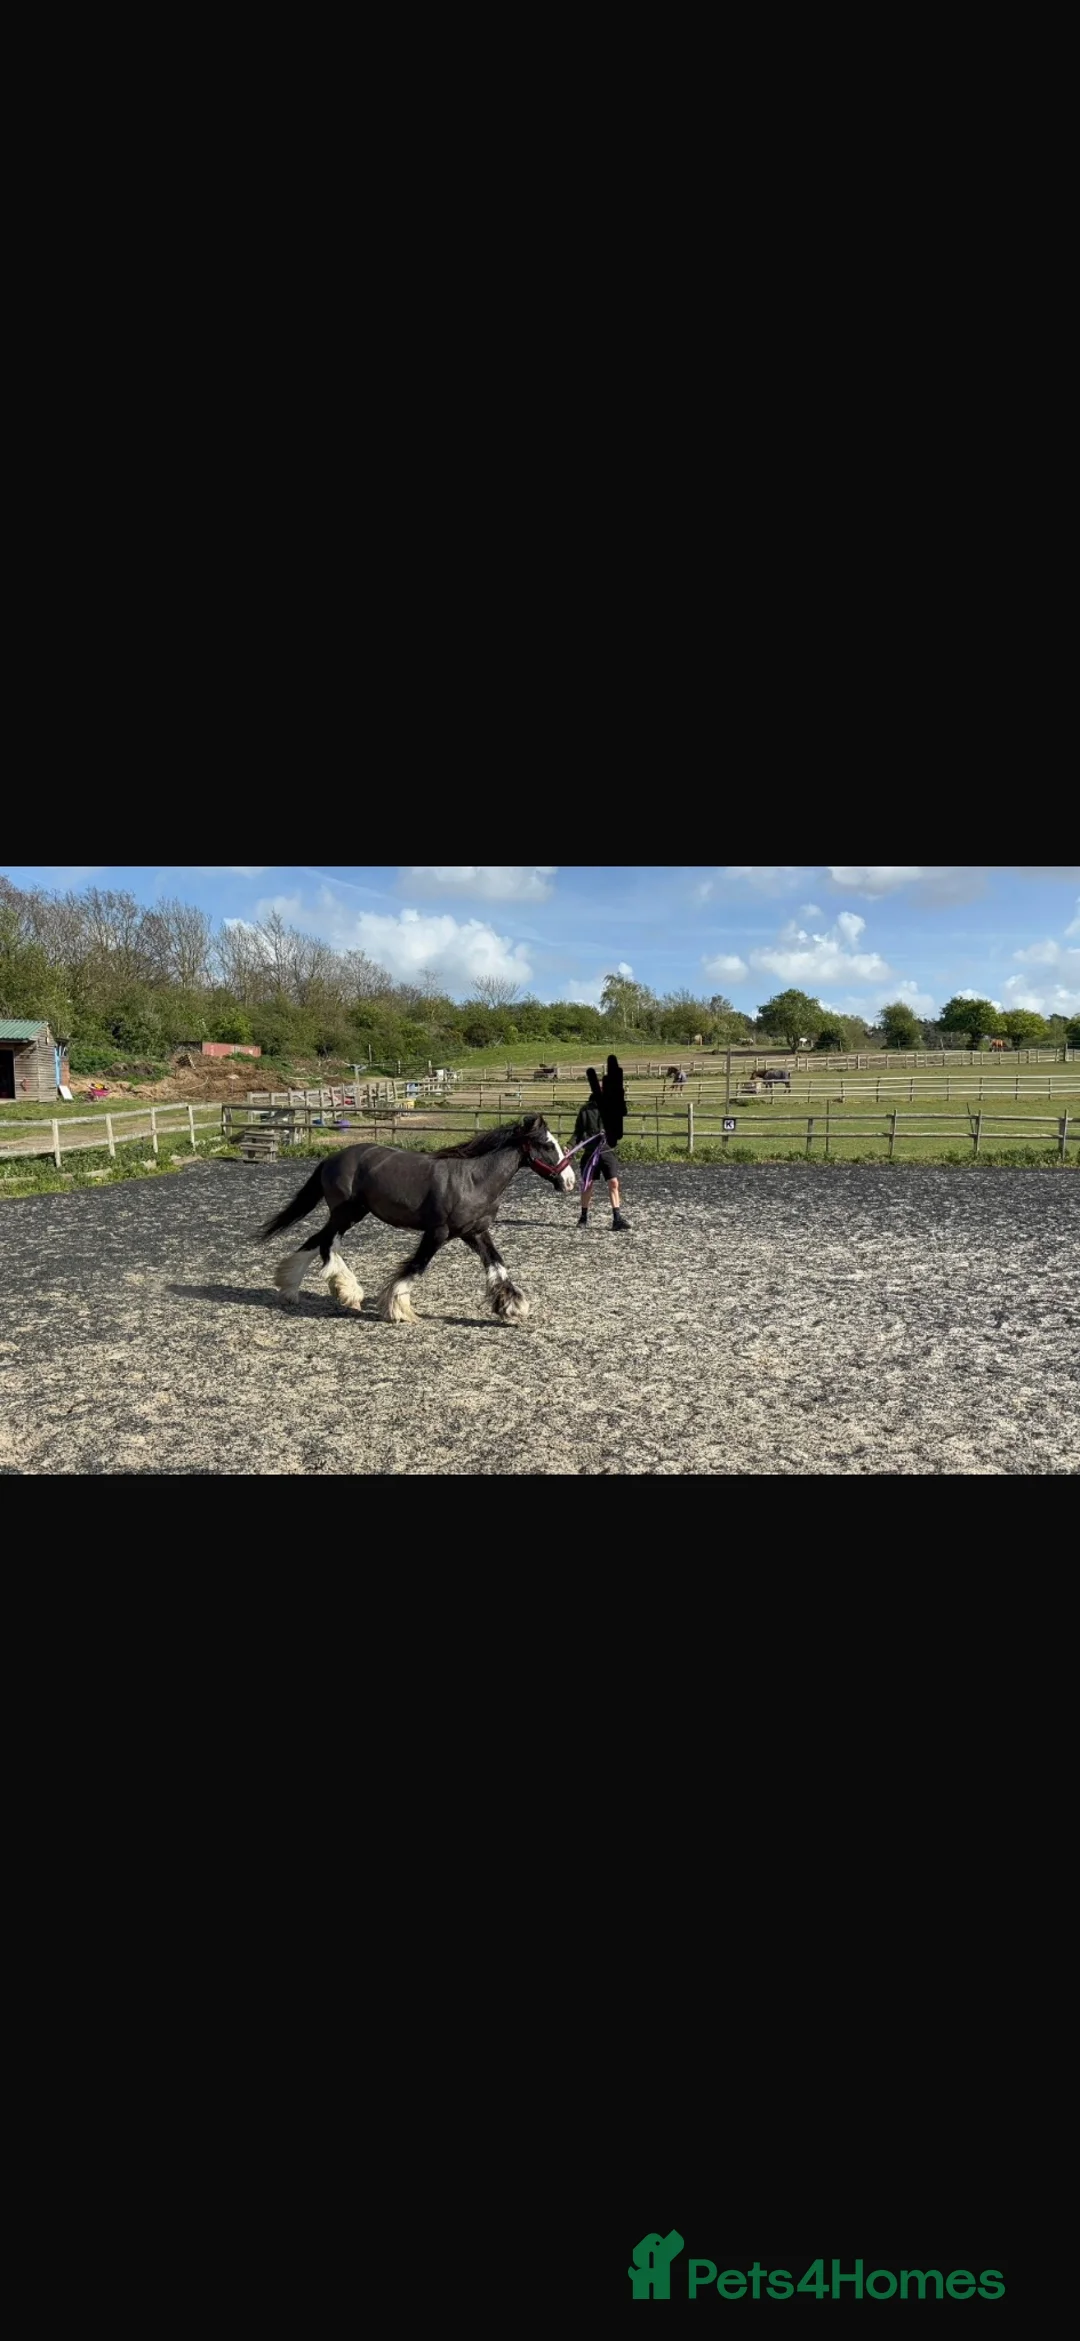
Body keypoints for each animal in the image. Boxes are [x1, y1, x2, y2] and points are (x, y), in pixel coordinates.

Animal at [260, 1114, 576, 1325]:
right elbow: (416, 1266)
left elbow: (497, 1266)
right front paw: (397, 1308)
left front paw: (512, 1306)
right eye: (548, 1145)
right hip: (345, 1213)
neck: (473, 1180)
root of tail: (332, 1158)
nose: (570, 1181)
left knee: (316, 1240)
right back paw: (348, 1292)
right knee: (327, 1243)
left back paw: (290, 1289)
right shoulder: (437, 1232)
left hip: (350, 1214)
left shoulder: (475, 1232)